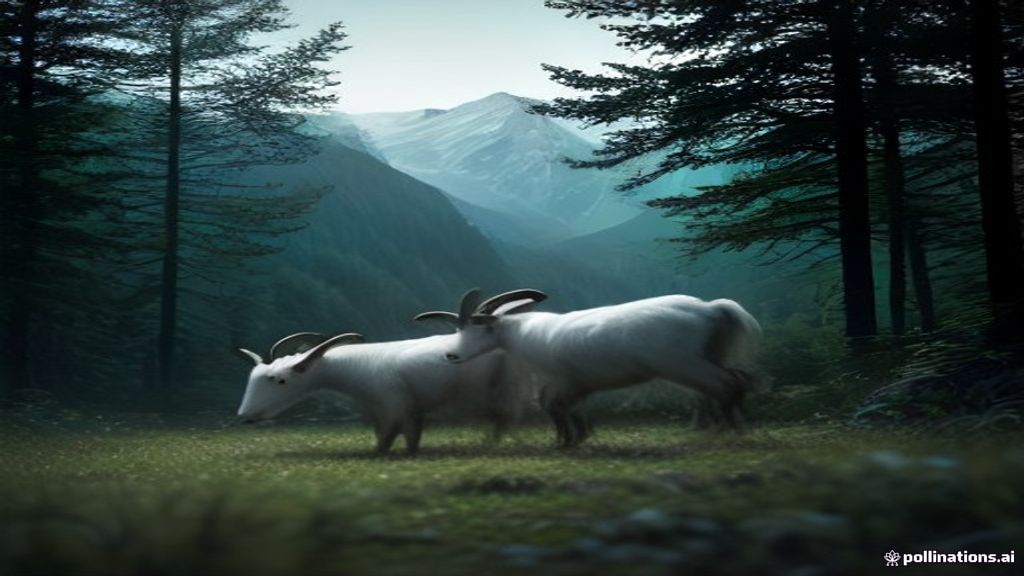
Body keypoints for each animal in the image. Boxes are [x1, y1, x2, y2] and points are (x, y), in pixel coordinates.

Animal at [236, 325, 519, 455]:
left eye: (281, 381)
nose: (245, 416)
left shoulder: (394, 404)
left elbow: (393, 435)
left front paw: (384, 454)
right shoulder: (389, 408)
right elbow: (402, 435)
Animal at [435, 289, 762, 447]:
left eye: (477, 329)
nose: (451, 355)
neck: (526, 333)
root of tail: (711, 309)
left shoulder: (563, 380)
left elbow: (554, 406)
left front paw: (566, 441)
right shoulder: (575, 384)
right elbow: (566, 408)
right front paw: (576, 438)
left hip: (686, 364)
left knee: (726, 384)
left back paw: (730, 431)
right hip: (710, 355)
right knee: (738, 379)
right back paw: (735, 427)